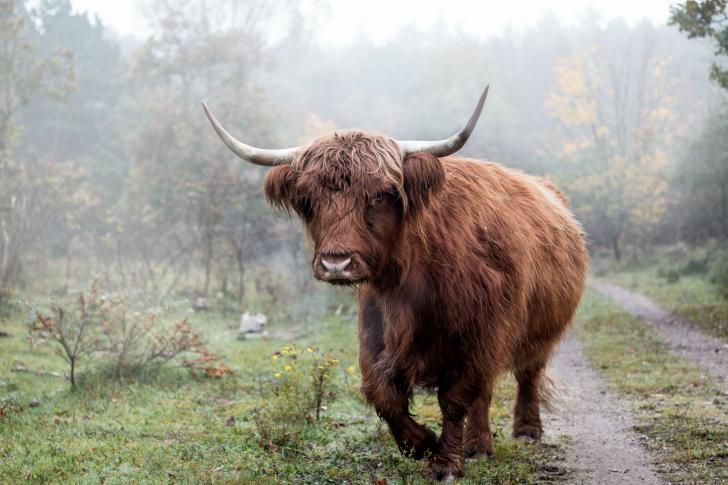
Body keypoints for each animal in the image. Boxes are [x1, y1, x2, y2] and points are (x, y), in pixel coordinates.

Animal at [202, 88, 588, 480]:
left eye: (381, 194)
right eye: (309, 200)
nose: (335, 263)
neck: (410, 282)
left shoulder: (480, 334)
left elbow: (454, 399)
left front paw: (446, 462)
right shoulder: (375, 331)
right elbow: (383, 394)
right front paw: (422, 443)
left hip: (539, 330)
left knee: (527, 374)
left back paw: (524, 431)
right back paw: (479, 445)